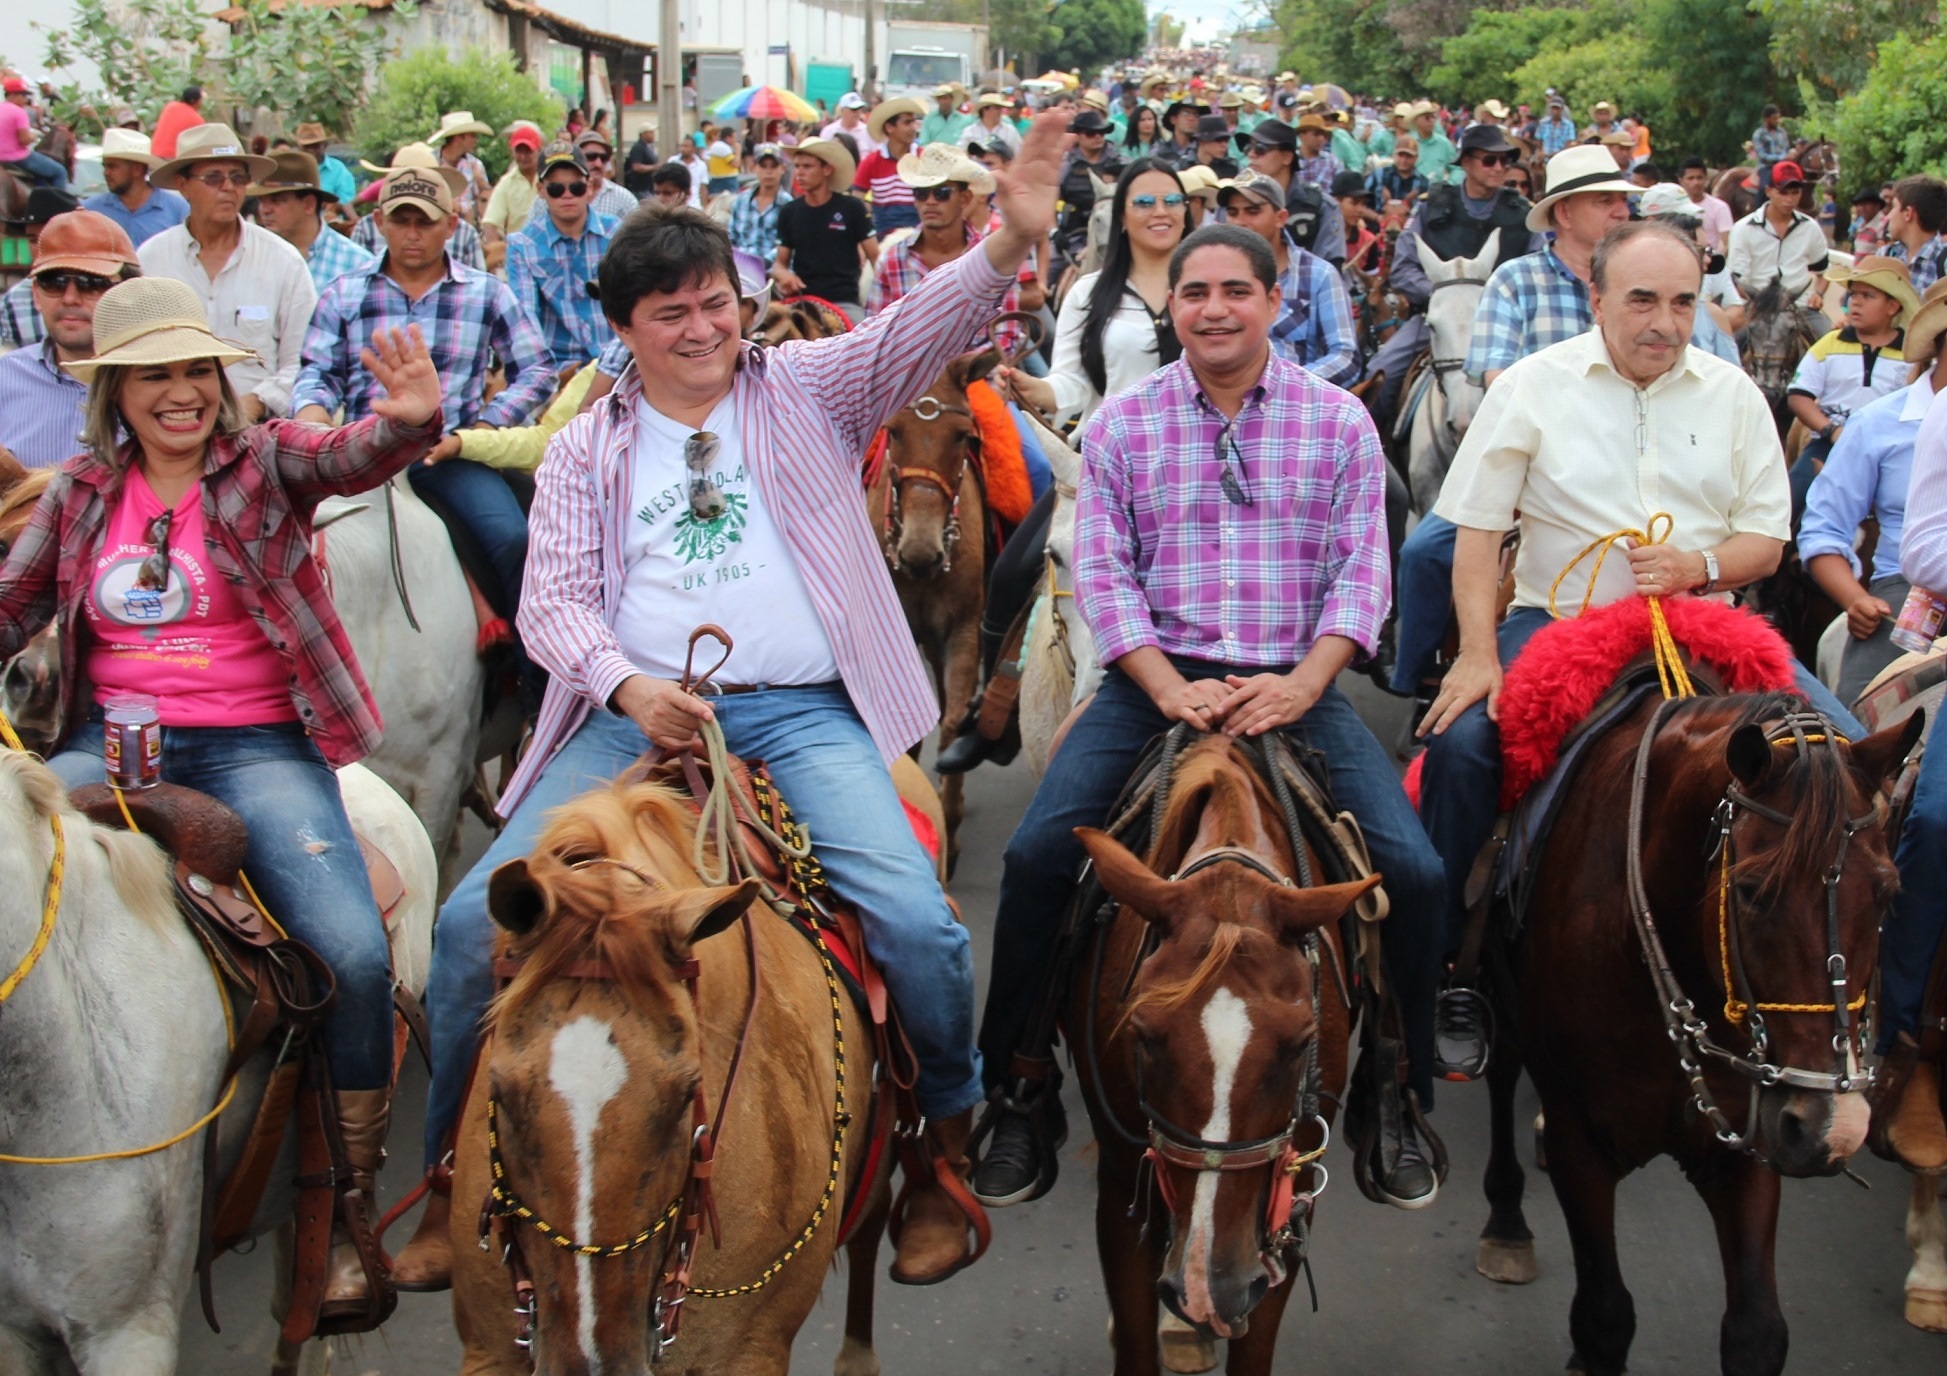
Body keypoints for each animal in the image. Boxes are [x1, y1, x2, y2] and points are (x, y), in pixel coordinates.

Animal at [1066, 735, 1386, 1370]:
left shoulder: (1289, 1205)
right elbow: (1135, 1343)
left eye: (1302, 1042)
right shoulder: (1121, 1188)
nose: (1210, 1285)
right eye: (1142, 1033)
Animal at [1471, 700, 1915, 1376]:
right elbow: (1604, 1319)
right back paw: (1505, 1221)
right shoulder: (1582, 1142)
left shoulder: (1750, 1137)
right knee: (1500, 1074)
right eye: (1752, 892)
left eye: (1889, 891)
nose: (1829, 1130)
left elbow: (1756, 1331)